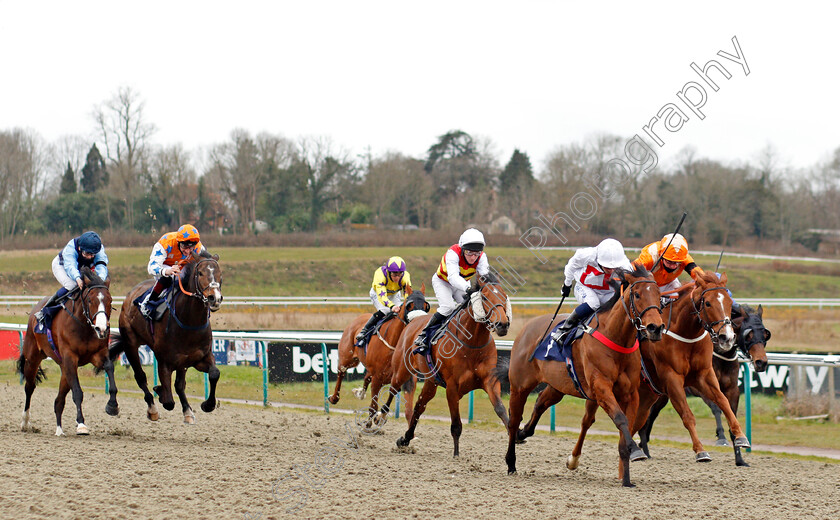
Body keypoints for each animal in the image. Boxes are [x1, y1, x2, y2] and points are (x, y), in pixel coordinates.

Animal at [17, 266, 115, 436]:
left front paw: (112, 405)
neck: (84, 326)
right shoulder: (70, 357)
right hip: (33, 358)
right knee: (29, 387)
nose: (102, 328)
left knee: (59, 400)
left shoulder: (98, 354)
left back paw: (59, 429)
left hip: (64, 367)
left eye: (110, 301)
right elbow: (77, 392)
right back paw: (25, 422)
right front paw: (81, 424)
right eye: (91, 300)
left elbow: (109, 367)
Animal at [108, 250, 223, 424]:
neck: (189, 321)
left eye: (219, 274)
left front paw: (207, 405)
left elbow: (214, 373)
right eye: (201, 273)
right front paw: (160, 391)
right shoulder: (164, 361)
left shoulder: (198, 357)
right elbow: (168, 400)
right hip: (131, 344)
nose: (214, 298)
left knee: (179, 385)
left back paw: (187, 411)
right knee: (140, 377)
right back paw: (153, 408)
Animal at [378, 272, 512, 456]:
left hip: (431, 382)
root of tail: (415, 319)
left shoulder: (489, 381)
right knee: (392, 391)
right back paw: (378, 418)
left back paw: (405, 439)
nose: (502, 324)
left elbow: (500, 409)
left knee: (419, 406)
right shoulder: (452, 387)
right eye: (485, 297)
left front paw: (515, 436)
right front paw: (456, 454)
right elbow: (456, 425)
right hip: (402, 371)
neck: (472, 343)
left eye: (504, 297)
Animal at [502, 264, 668, 488]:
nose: (655, 328)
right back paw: (511, 462)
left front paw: (627, 478)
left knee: (540, 403)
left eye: (659, 295)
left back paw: (524, 432)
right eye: (637, 294)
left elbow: (627, 423)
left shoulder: (631, 394)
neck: (616, 338)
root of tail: (528, 326)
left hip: (558, 386)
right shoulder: (601, 387)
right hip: (519, 385)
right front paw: (635, 449)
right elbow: (620, 419)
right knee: (514, 419)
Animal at [640, 302, 772, 466]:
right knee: (648, 416)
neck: (721, 355)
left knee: (651, 416)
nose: (761, 362)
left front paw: (740, 457)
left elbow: (730, 414)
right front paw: (721, 437)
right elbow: (716, 409)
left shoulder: (732, 390)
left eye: (765, 335)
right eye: (749, 334)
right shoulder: (700, 388)